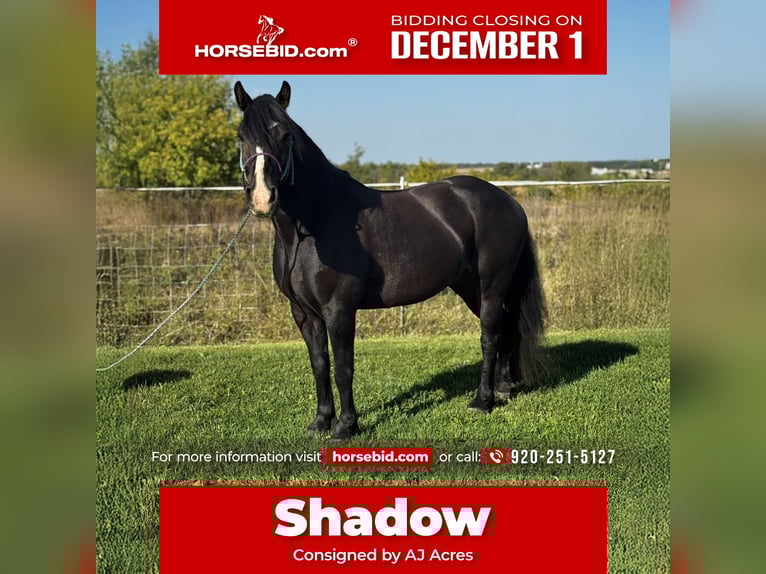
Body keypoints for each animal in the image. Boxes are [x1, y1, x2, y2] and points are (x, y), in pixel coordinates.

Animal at [234, 80, 546, 439]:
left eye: (284, 135)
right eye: (241, 136)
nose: (262, 198)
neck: (317, 223)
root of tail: (509, 201)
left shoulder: (339, 310)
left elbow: (343, 368)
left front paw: (345, 426)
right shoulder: (303, 313)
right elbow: (320, 365)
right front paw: (321, 421)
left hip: (493, 286)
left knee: (490, 337)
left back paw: (483, 401)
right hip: (471, 288)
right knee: (505, 330)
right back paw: (504, 391)